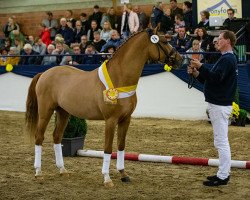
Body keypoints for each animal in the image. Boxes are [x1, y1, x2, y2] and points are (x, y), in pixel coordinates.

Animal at [25, 28, 183, 187]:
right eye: (164, 41)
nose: (180, 59)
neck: (119, 78)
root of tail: (44, 73)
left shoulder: (126, 119)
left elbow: (121, 146)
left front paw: (123, 174)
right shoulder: (110, 120)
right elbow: (108, 148)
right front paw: (107, 178)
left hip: (63, 113)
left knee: (57, 137)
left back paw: (63, 170)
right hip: (45, 112)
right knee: (39, 137)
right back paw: (38, 172)